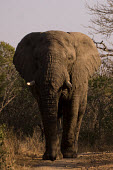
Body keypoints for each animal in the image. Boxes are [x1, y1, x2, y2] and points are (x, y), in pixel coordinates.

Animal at [13, 30, 100, 161]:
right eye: (36, 58)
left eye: (69, 58)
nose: (52, 158)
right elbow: (44, 110)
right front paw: (49, 156)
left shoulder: (76, 75)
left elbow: (71, 108)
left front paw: (68, 155)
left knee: (79, 113)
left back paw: (73, 153)